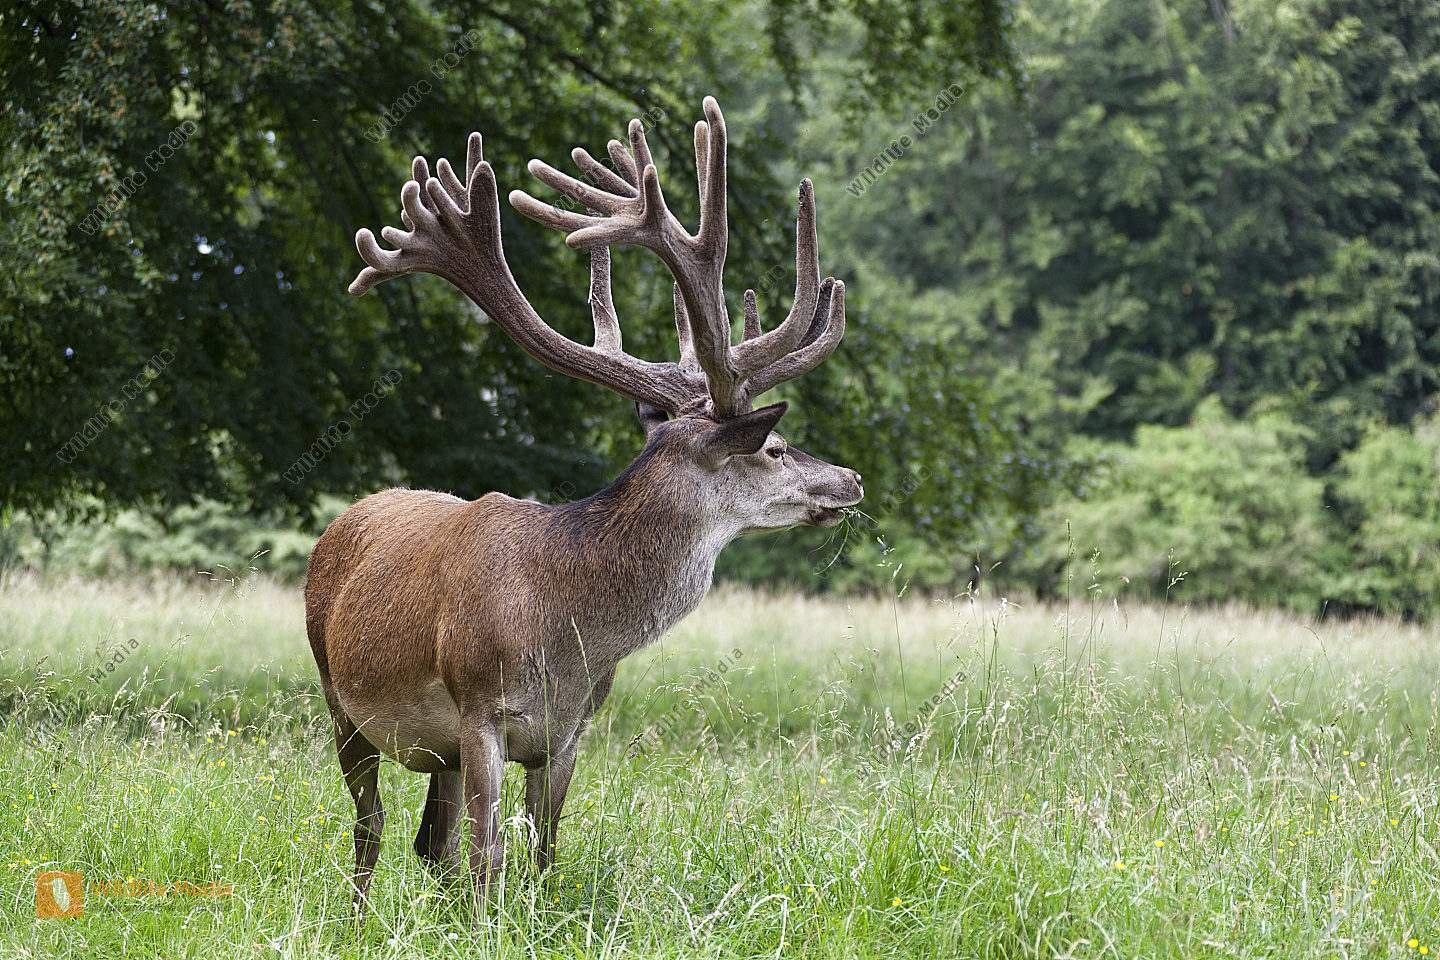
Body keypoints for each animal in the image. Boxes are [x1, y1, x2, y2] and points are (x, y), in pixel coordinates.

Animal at [305, 97, 863, 915]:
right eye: (775, 446)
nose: (850, 479)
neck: (569, 633)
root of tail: (344, 518)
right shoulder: (480, 708)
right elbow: (490, 857)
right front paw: (488, 928)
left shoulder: (569, 731)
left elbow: (543, 855)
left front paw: (531, 918)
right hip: (340, 697)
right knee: (371, 827)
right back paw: (360, 918)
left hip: (432, 748)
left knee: (429, 842)